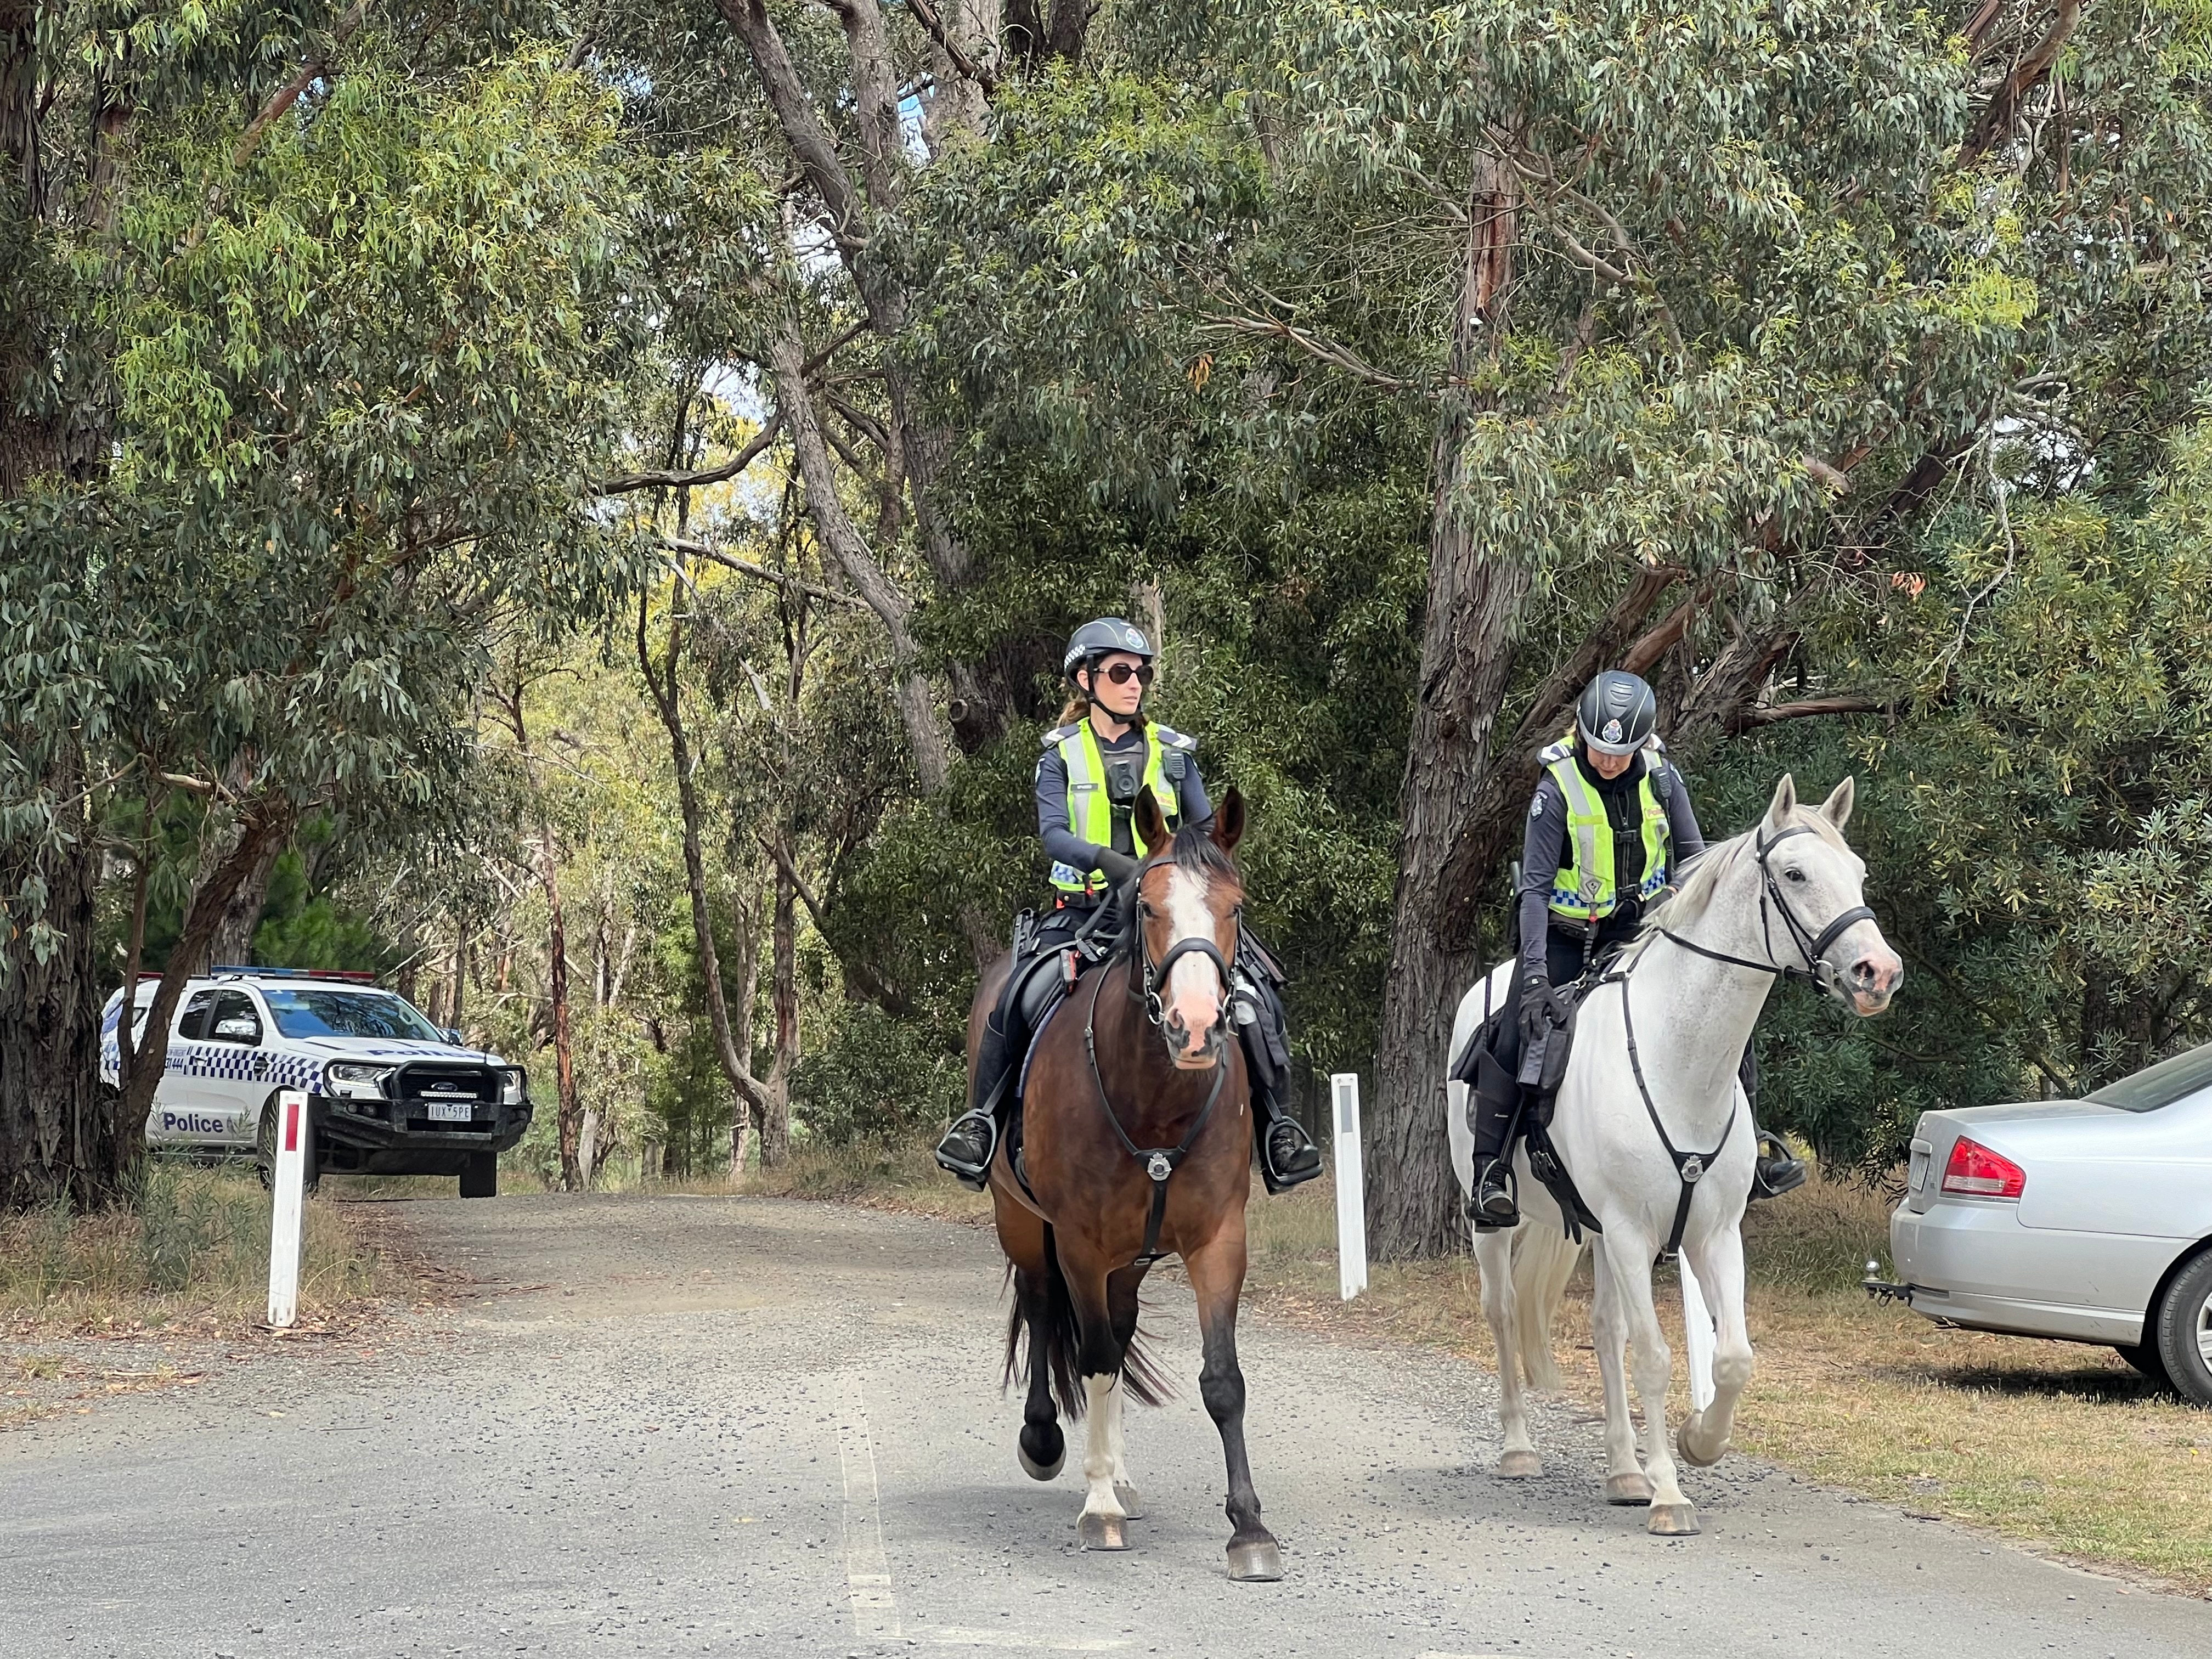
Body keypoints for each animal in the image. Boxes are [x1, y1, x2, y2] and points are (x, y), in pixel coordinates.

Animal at [974, 784, 1284, 1582]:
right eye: (1145, 906)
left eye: (1236, 906)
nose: (1195, 1027)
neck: (1154, 1100)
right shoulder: (1080, 1245)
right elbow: (1093, 1362)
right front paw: (1100, 1510)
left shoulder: (1219, 1241)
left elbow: (1222, 1380)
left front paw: (1249, 1530)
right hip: (1023, 1224)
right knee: (1049, 1311)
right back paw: (1051, 1445)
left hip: (1133, 1259)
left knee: (1116, 1328)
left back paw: (1119, 1472)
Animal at [1445, 775, 1902, 1536]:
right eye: (1795, 874)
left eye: (1860, 872)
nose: (1879, 973)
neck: (1676, 1056)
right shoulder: (1634, 1234)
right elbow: (1657, 1358)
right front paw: (1668, 1494)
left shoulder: (1711, 1234)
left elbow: (1734, 1357)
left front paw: (1698, 1445)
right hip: (1497, 1222)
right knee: (1504, 1311)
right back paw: (1519, 1449)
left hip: (1597, 1232)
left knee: (1604, 1332)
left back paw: (1622, 1470)